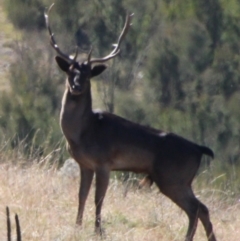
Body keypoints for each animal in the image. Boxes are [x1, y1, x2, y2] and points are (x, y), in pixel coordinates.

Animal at [44, 3, 218, 241]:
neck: (83, 133)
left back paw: (187, 237)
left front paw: (98, 230)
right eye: (70, 72)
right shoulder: (85, 164)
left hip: (172, 177)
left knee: (195, 208)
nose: (76, 86)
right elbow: (81, 195)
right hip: (180, 180)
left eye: (88, 74)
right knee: (203, 208)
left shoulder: (103, 162)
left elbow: (98, 198)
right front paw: (77, 226)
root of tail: (199, 149)